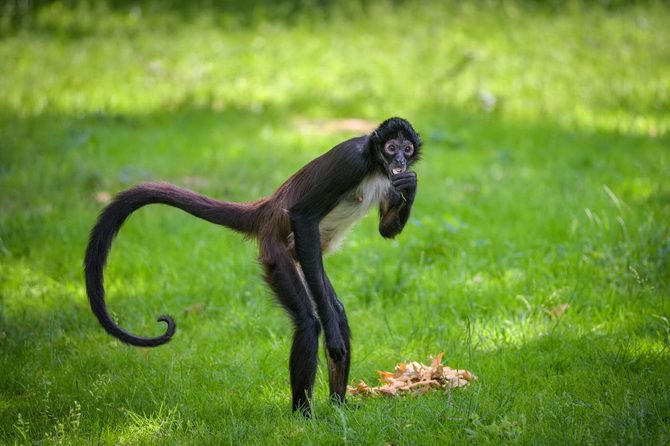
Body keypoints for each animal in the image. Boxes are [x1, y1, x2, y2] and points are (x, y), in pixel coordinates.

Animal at [84, 116, 420, 416]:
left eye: (407, 149)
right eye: (391, 147)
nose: (400, 160)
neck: (376, 165)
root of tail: (268, 209)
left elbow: (386, 230)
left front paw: (411, 184)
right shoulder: (351, 162)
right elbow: (303, 216)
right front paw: (333, 339)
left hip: (302, 257)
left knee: (336, 311)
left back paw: (338, 407)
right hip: (278, 253)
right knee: (309, 322)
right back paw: (303, 417)